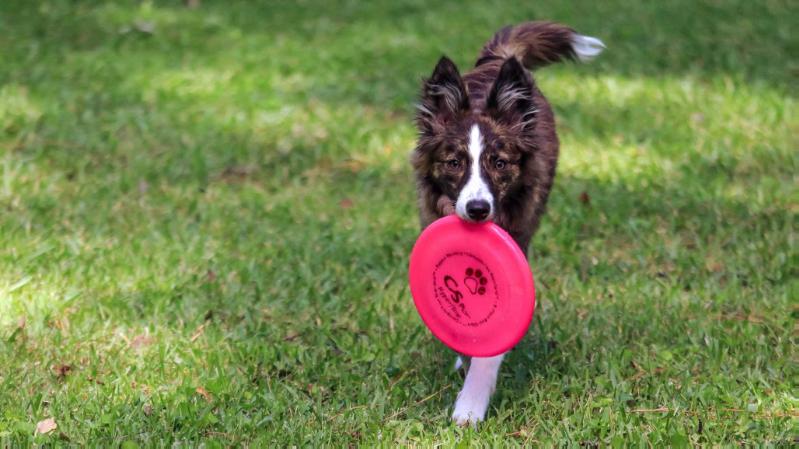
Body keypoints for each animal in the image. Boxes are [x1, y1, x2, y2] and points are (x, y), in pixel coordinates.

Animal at [412, 22, 608, 426]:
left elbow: (491, 344)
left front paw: (470, 404)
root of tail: (498, 61)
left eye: (499, 163)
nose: (477, 209)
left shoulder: (517, 242)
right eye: (454, 162)